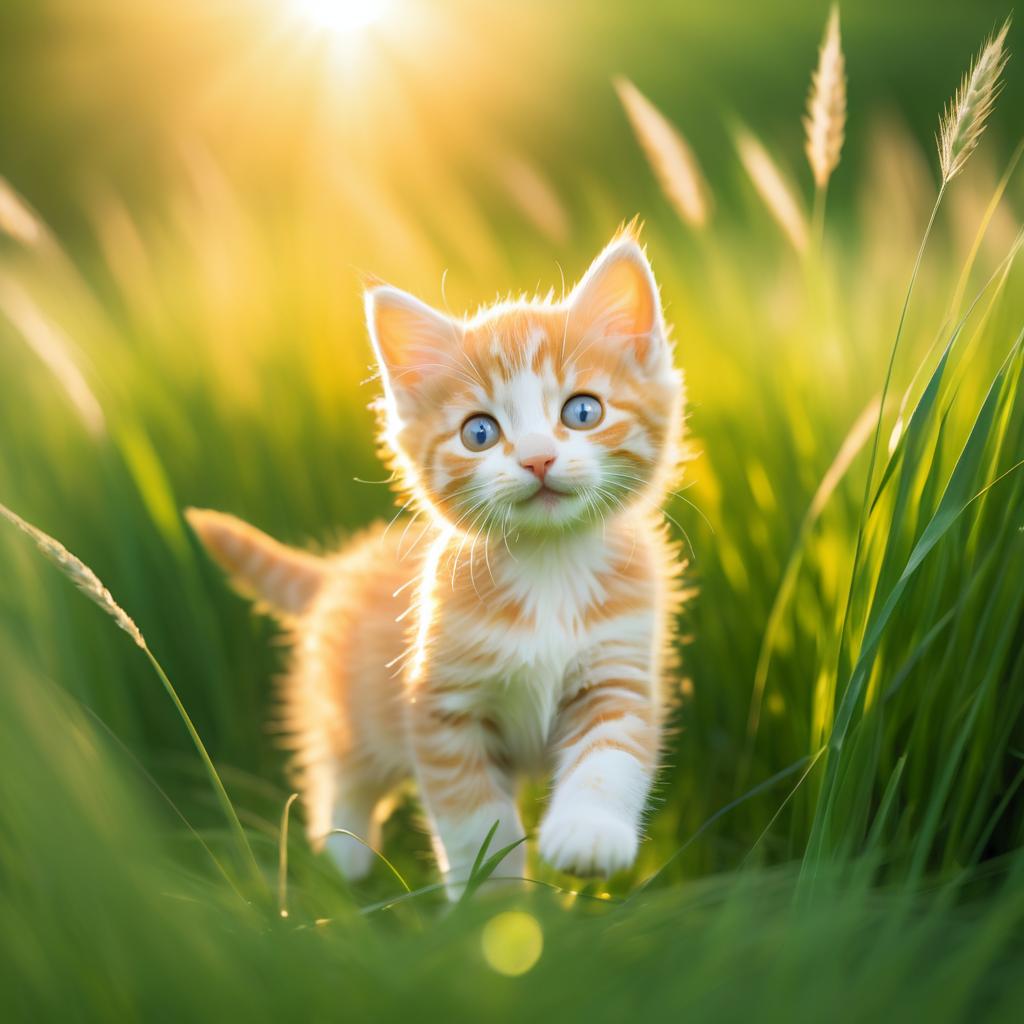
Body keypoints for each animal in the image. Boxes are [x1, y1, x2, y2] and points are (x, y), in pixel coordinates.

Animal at [187, 226, 684, 897]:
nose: (537, 459)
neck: (548, 568)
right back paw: (342, 858)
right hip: (349, 715)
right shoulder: (440, 707)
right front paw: (492, 902)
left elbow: (610, 758)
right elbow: (474, 822)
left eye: (583, 412)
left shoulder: (619, 669)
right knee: (342, 775)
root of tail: (343, 569)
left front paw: (587, 836)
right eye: (479, 433)